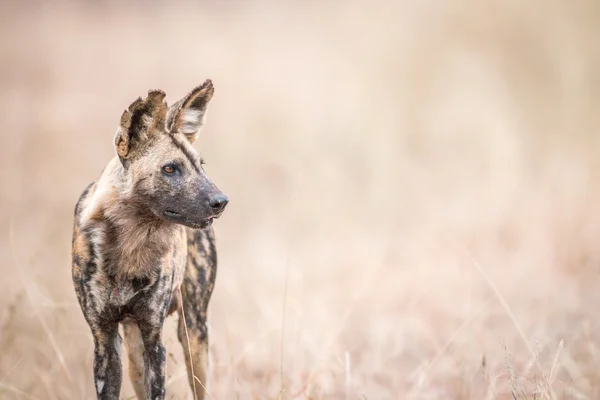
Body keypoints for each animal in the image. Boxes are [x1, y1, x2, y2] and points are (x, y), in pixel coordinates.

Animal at [72, 79, 227, 398]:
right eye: (170, 168)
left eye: (200, 165)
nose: (221, 201)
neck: (130, 244)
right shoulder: (104, 340)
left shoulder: (154, 340)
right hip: (133, 350)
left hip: (194, 334)